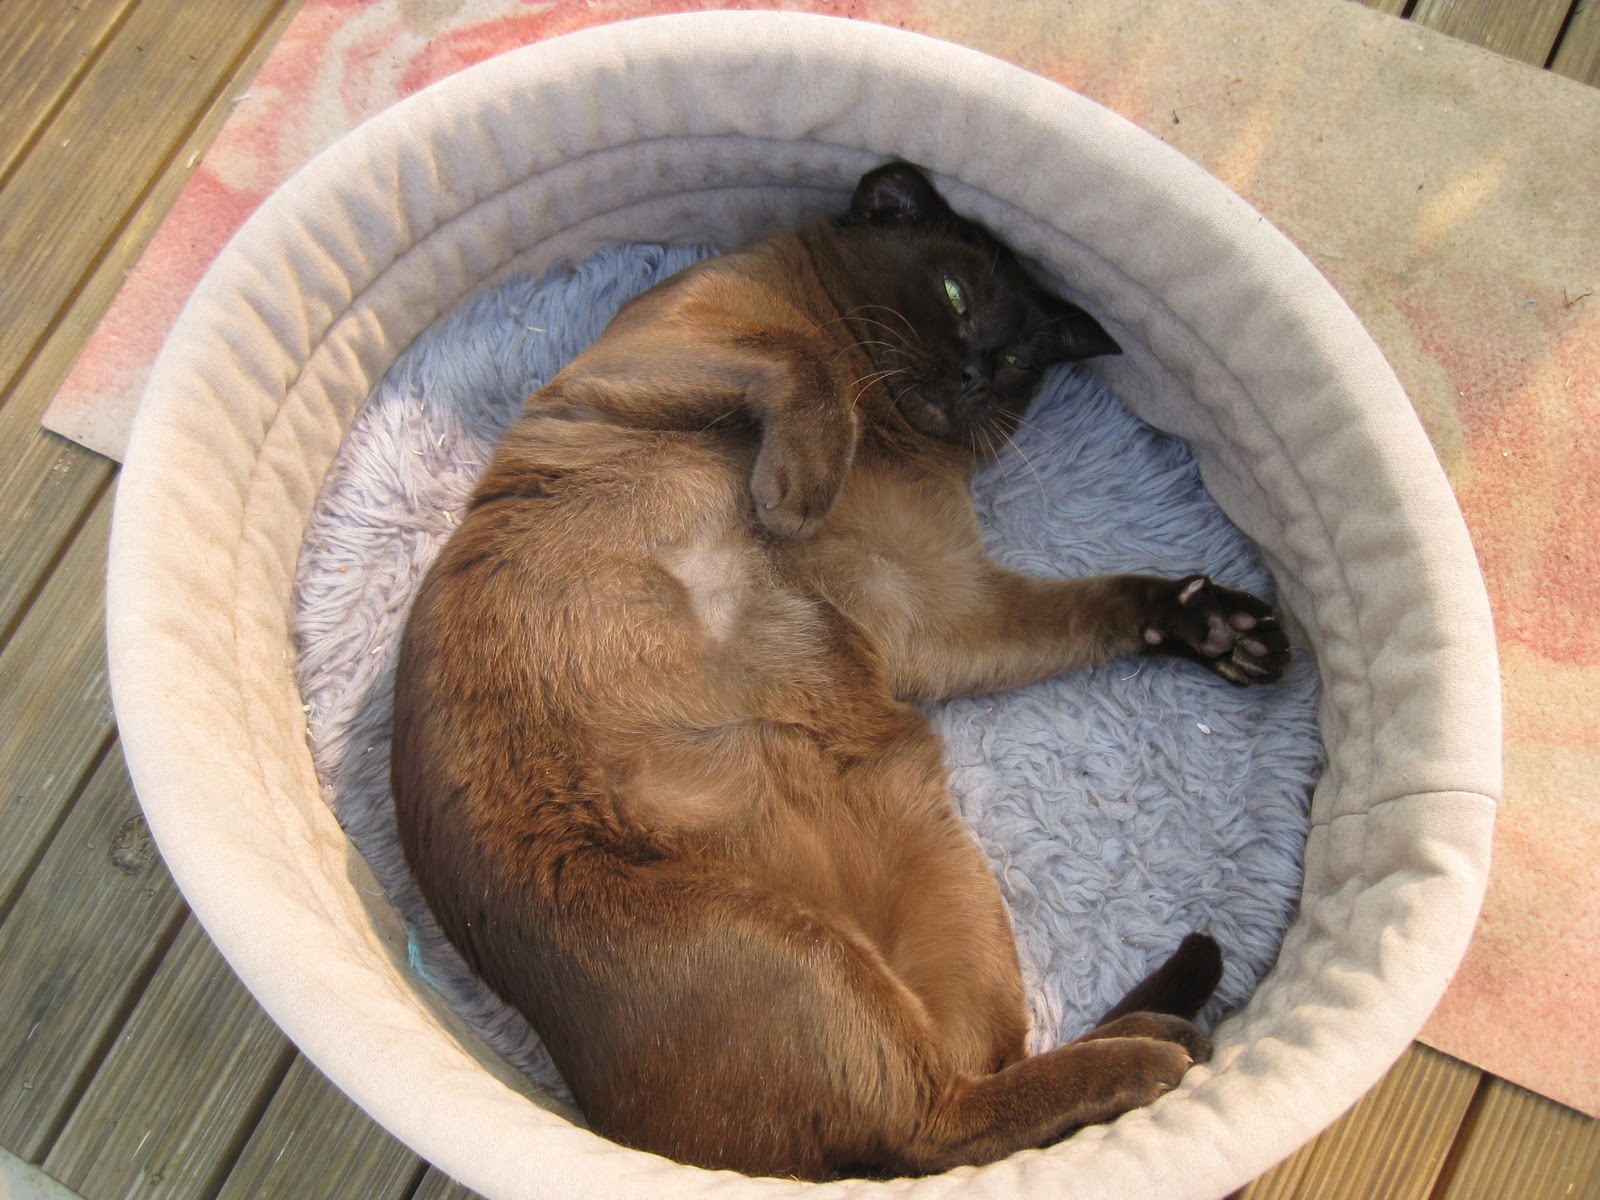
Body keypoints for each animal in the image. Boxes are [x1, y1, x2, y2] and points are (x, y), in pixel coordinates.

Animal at [391, 161, 1290, 1180]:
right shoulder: (668, 352)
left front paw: (1225, 630)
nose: (977, 372)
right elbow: (802, 361)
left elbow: (1101, 602)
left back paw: (1166, 1046)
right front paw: (795, 495)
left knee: (964, 1096)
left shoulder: (941, 611)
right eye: (954, 296)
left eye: (1022, 359)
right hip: (790, 944)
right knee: (937, 1126)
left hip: (937, 909)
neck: (891, 434)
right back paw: (1159, 1056)